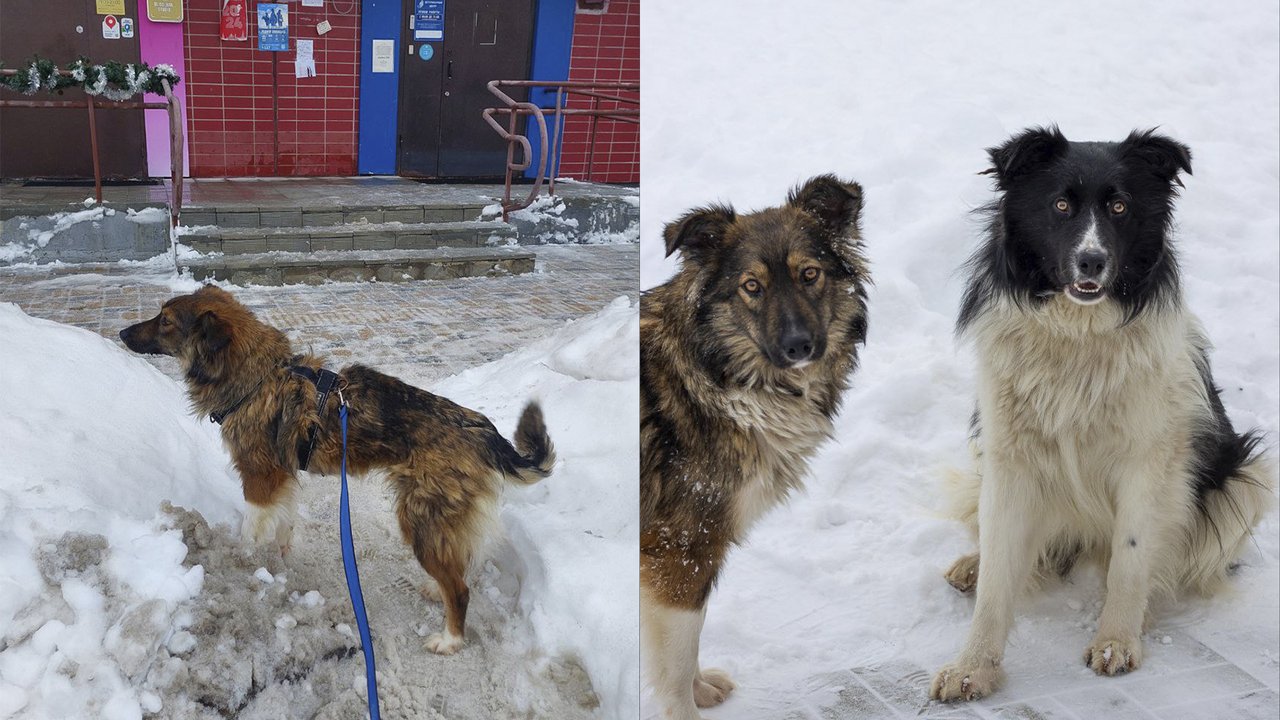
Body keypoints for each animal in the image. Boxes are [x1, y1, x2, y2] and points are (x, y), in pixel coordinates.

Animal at [120, 283, 555, 653]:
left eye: (165, 321)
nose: (122, 333)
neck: (256, 377)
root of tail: (481, 430)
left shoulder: (259, 477)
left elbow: (250, 530)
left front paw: (243, 562)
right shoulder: (281, 476)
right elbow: (284, 520)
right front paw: (281, 554)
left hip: (420, 516)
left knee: (461, 589)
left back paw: (449, 639)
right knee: (464, 564)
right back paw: (439, 590)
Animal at [640, 175, 870, 717]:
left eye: (810, 275)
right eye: (752, 287)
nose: (799, 346)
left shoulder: (691, 551)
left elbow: (689, 643)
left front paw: (701, 688)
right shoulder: (681, 549)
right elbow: (676, 658)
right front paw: (685, 705)